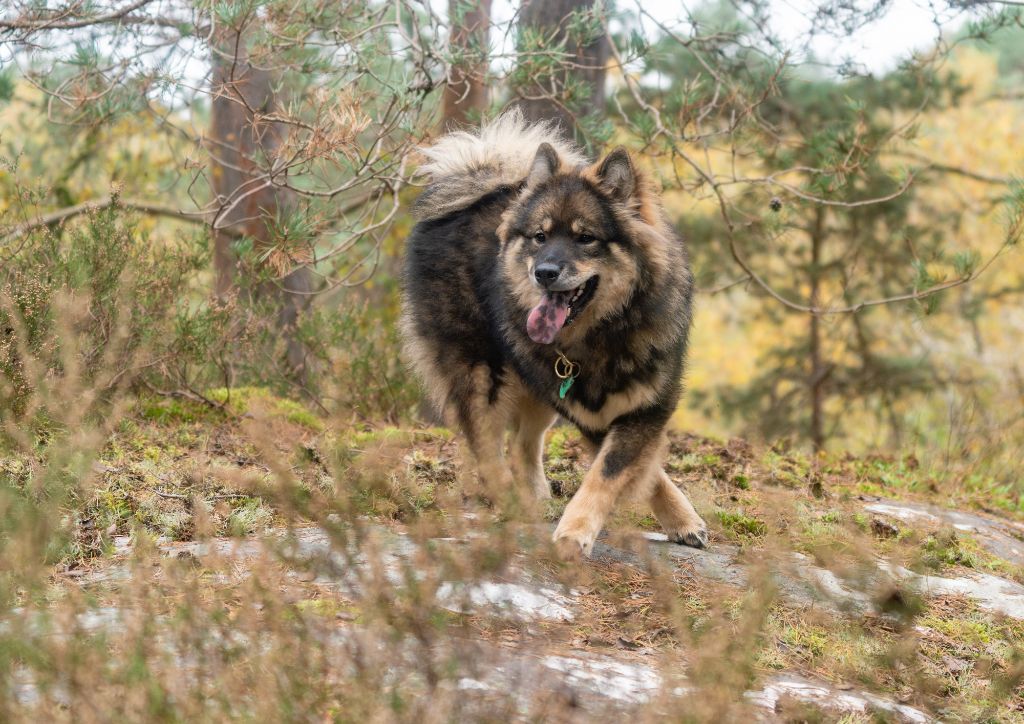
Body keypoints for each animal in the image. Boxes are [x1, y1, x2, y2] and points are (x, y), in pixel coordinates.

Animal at [399, 110, 704, 557]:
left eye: (585, 238)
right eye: (540, 237)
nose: (543, 272)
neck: (606, 330)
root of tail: (479, 176)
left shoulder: (643, 407)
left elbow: (620, 471)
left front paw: (682, 520)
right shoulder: (594, 417)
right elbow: (610, 474)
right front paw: (575, 533)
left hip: (538, 381)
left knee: (522, 444)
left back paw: (533, 497)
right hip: (480, 373)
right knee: (487, 449)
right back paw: (507, 501)